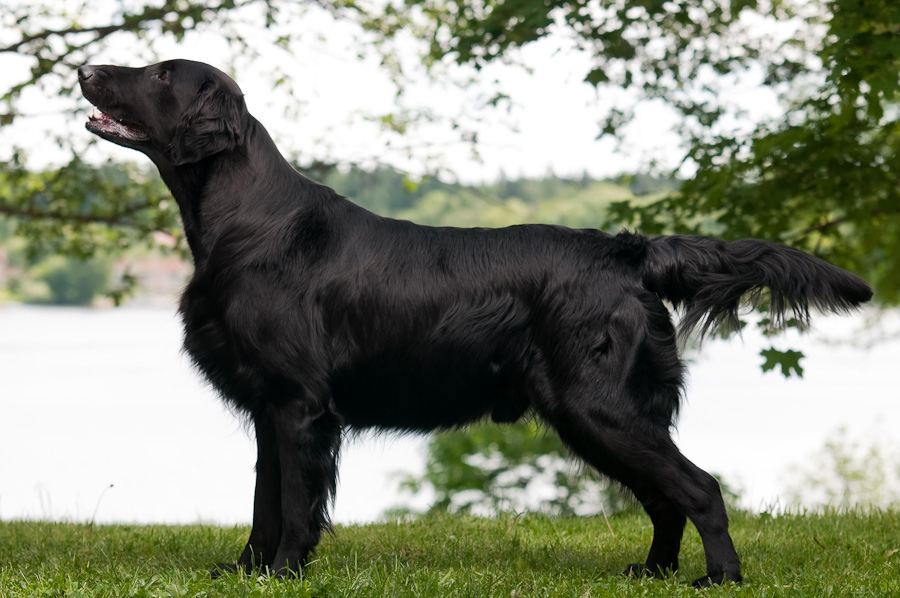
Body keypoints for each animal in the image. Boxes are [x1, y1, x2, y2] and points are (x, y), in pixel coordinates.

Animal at [78, 59, 872, 586]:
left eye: (159, 74)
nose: (85, 68)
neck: (249, 222)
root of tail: (627, 250)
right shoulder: (268, 408)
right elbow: (262, 502)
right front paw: (248, 571)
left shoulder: (298, 405)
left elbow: (295, 506)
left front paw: (282, 574)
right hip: (600, 416)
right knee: (664, 497)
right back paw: (650, 573)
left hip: (597, 407)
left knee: (698, 488)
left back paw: (720, 578)